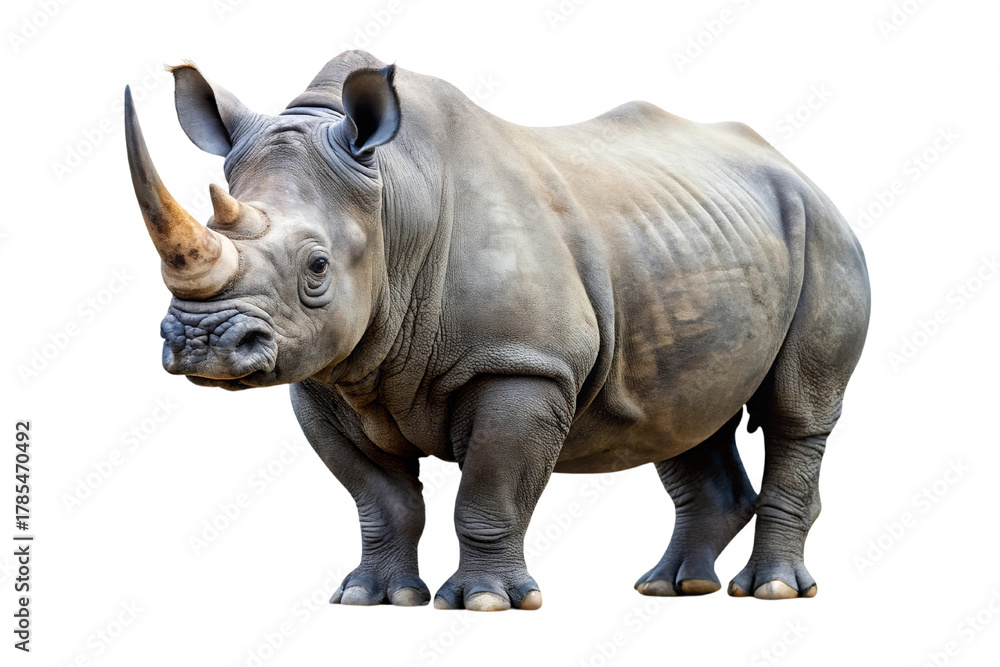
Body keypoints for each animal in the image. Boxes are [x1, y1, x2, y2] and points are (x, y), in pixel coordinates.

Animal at [124, 50, 870, 611]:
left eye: (317, 267)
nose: (201, 343)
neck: (392, 198)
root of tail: (799, 170)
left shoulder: (523, 363)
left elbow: (489, 489)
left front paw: (486, 602)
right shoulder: (326, 376)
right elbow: (380, 498)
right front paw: (373, 597)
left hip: (825, 236)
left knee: (796, 412)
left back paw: (770, 591)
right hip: (685, 242)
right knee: (680, 410)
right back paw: (672, 587)